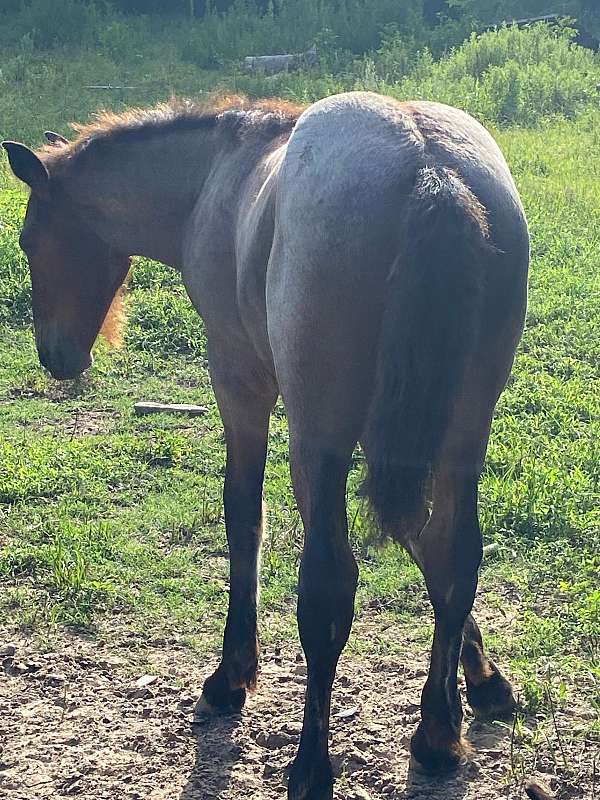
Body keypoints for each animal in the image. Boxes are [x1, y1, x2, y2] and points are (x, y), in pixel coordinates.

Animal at [3, 91, 529, 800]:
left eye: (29, 241)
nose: (56, 357)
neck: (215, 178)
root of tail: (430, 170)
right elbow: (422, 544)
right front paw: (484, 680)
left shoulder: (241, 383)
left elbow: (243, 517)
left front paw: (230, 677)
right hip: (461, 435)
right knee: (455, 555)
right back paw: (438, 737)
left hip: (323, 436)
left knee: (330, 586)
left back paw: (311, 763)